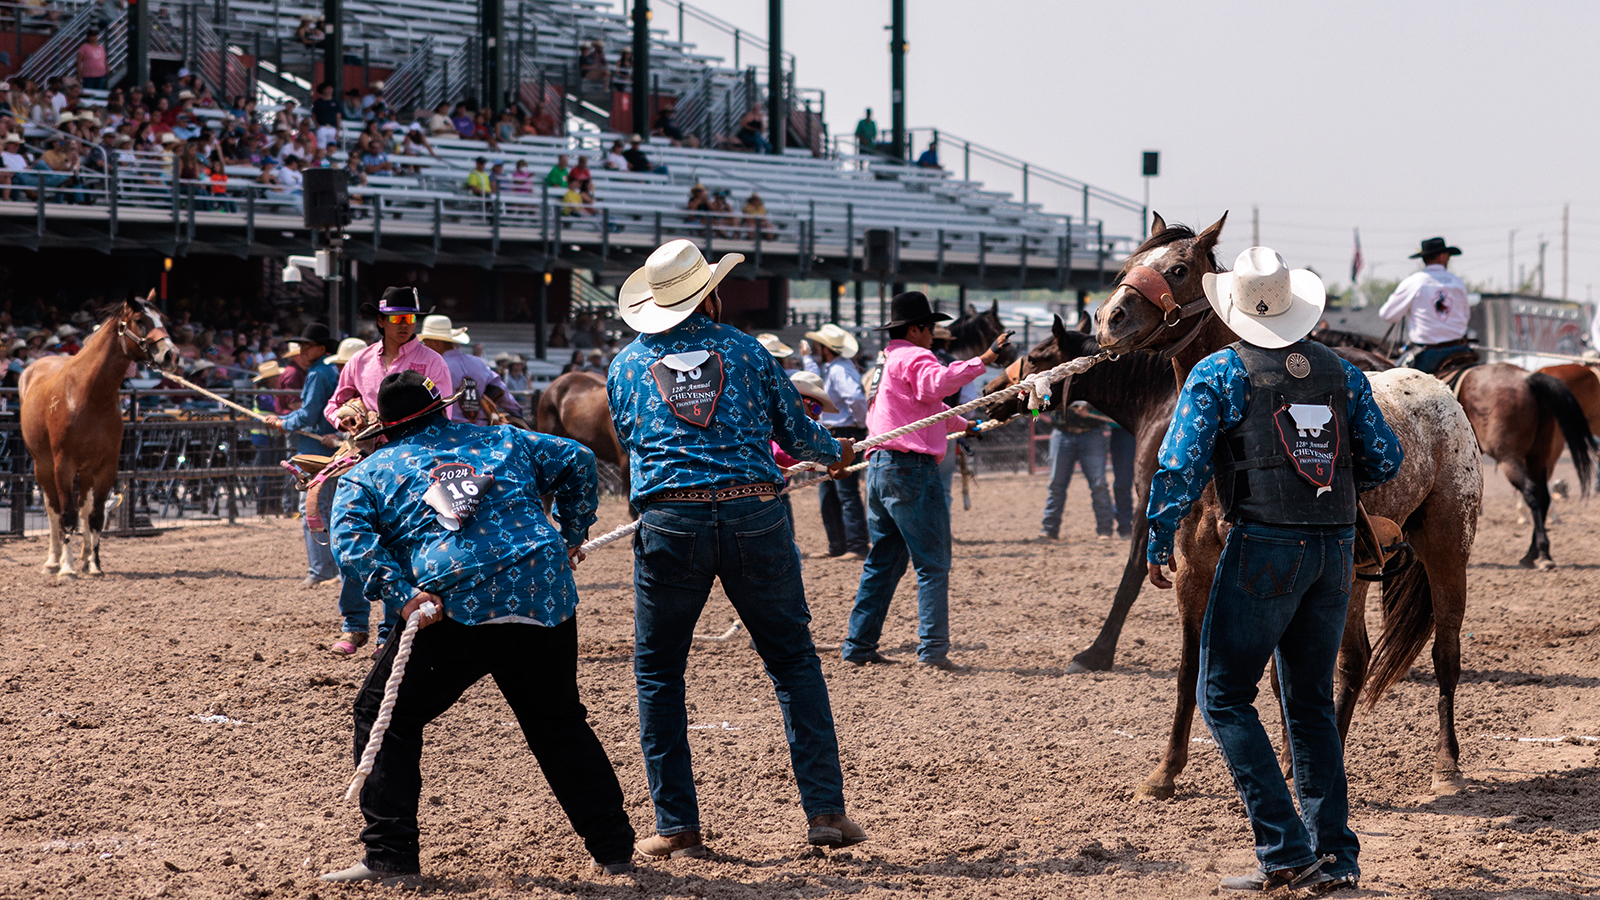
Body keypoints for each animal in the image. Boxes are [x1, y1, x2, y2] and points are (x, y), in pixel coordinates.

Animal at [1094, 216, 1478, 791]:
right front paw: (1165, 771)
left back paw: (1446, 765)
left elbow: (1278, 680)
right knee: (1354, 660)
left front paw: (1289, 763)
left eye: (1179, 269)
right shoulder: (1194, 576)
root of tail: (1441, 391)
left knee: (1445, 652)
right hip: (1354, 578)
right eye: (1127, 265)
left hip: (1448, 548)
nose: (1108, 318)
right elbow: (1190, 671)